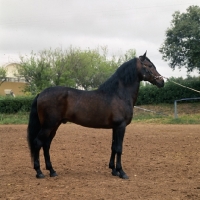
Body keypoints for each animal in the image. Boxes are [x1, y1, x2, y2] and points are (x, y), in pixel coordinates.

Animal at [26, 50, 164, 179]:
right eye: (150, 66)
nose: (162, 82)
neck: (118, 94)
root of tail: (41, 94)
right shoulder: (121, 126)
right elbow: (119, 148)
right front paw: (122, 172)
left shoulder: (115, 127)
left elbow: (113, 147)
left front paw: (113, 170)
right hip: (48, 126)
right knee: (38, 143)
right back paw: (39, 172)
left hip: (54, 126)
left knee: (46, 145)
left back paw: (52, 171)